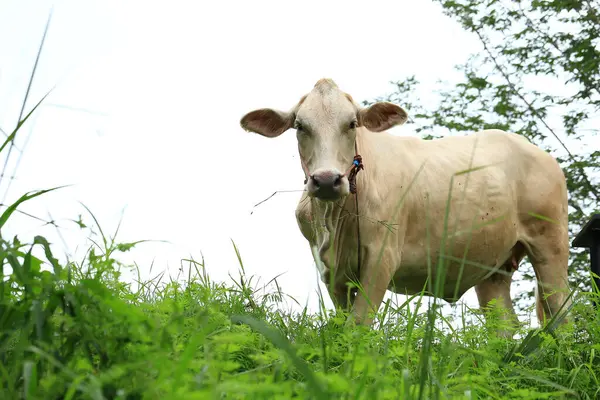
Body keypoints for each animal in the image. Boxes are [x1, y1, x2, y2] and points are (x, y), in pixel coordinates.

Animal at [240, 78, 572, 334]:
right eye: (300, 126)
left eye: (352, 124)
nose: (325, 180)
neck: (334, 222)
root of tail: (538, 152)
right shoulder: (330, 270)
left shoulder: (382, 256)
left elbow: (359, 322)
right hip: (492, 264)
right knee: (503, 325)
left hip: (550, 243)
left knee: (561, 310)